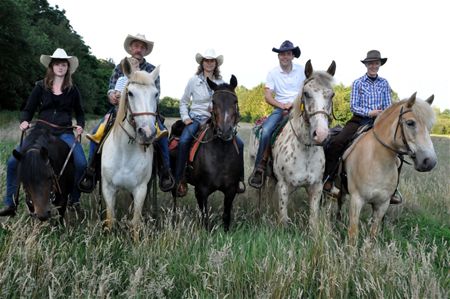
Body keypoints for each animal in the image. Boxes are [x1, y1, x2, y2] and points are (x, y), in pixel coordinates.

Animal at [172, 75, 243, 232]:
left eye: (235, 101)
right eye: (214, 101)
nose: (225, 131)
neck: (220, 155)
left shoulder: (231, 190)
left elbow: (226, 216)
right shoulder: (201, 190)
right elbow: (205, 218)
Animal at [248, 60, 336, 230]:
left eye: (332, 95)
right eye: (306, 93)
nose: (321, 134)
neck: (305, 149)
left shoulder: (316, 188)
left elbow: (313, 222)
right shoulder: (284, 186)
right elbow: (283, 220)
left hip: (272, 178)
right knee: (258, 194)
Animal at [338, 93, 436, 244]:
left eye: (429, 126)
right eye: (410, 123)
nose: (429, 162)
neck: (377, 161)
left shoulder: (382, 205)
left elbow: (372, 236)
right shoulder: (356, 200)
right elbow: (353, 235)